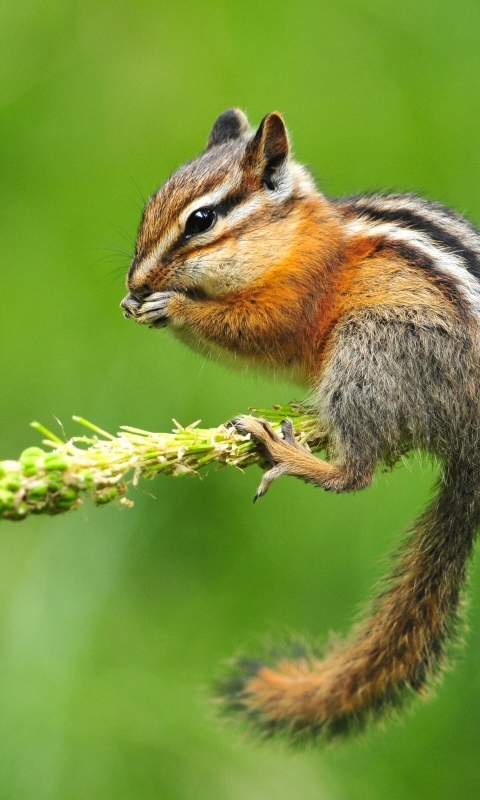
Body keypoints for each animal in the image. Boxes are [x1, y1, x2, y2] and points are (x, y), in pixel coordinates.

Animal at [119, 108, 480, 744]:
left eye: (201, 220)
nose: (136, 283)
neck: (295, 240)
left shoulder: (296, 299)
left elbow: (258, 329)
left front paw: (173, 308)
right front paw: (135, 305)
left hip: (372, 350)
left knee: (356, 474)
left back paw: (285, 452)